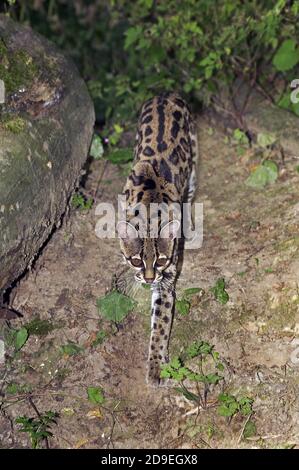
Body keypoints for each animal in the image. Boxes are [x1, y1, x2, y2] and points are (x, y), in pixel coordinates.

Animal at [118, 92, 199, 386]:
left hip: (193, 163)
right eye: (136, 261)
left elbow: (160, 326)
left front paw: (155, 365)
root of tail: (165, 93)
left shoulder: (167, 282)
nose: (149, 279)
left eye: (161, 260)